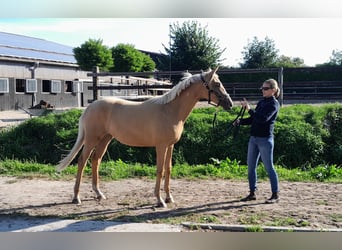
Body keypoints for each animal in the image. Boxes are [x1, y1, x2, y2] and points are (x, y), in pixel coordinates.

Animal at [56, 67, 234, 208]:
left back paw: (99, 194)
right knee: (82, 161)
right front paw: (159, 200)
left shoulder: (170, 145)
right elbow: (160, 170)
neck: (169, 110)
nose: (230, 103)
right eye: (217, 84)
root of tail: (89, 107)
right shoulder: (161, 146)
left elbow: (168, 169)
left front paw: (169, 198)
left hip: (105, 139)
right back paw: (76, 197)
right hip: (92, 139)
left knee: (95, 161)